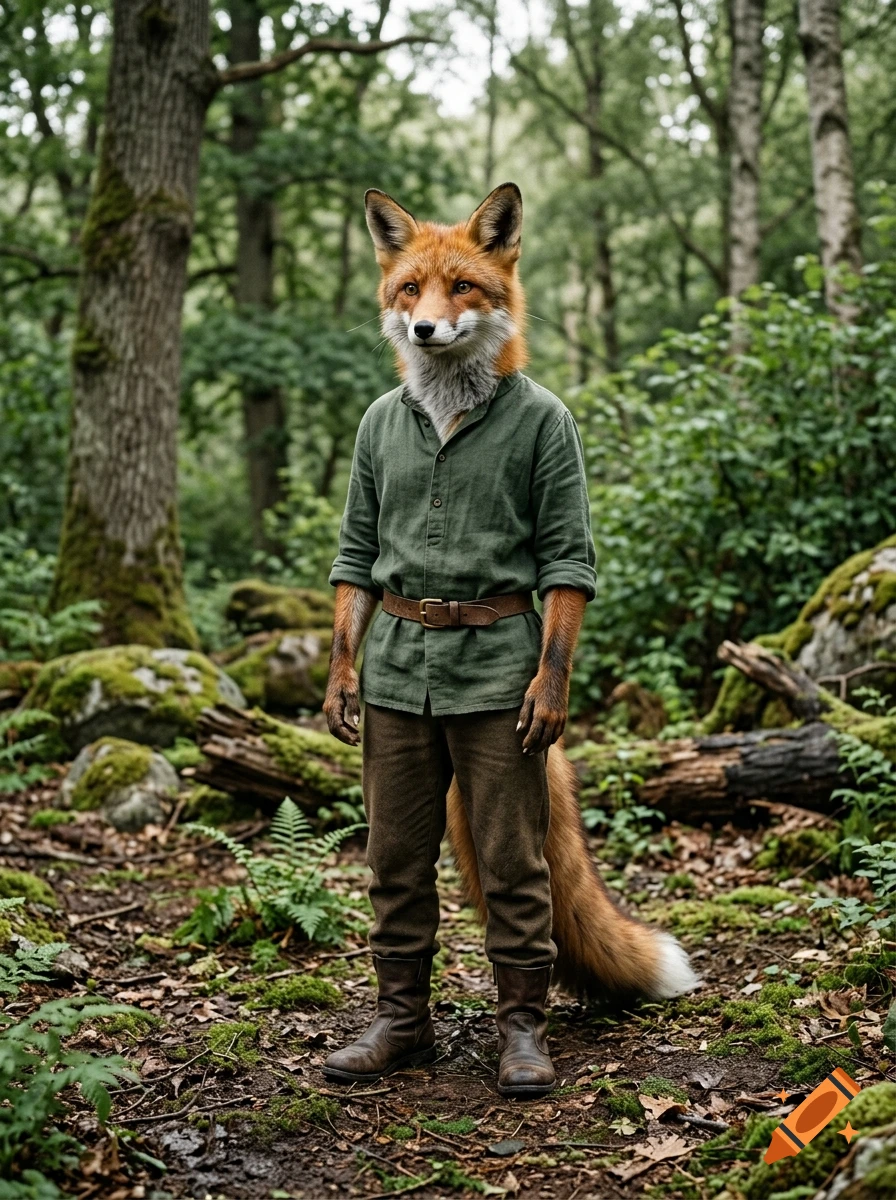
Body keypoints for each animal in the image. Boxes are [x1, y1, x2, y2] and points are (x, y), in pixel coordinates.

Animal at [325, 182, 698, 1009]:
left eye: (463, 286)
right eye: (410, 288)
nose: (425, 328)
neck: (444, 412)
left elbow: (566, 563)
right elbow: (355, 567)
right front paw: (338, 691)